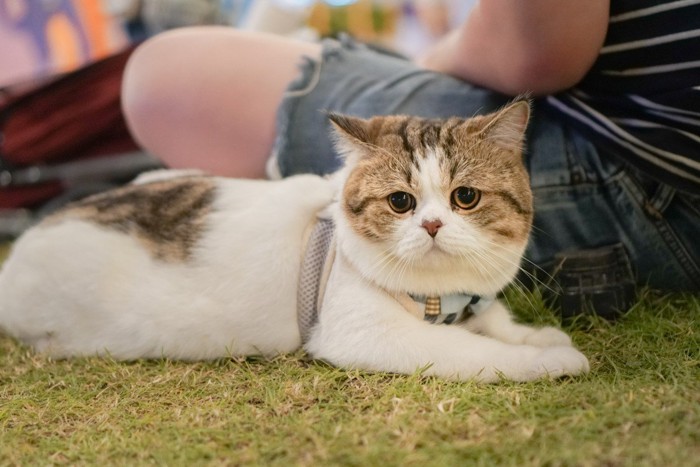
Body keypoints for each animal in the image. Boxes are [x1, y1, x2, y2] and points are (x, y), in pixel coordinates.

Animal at [0, 100, 592, 382]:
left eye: (464, 197)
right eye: (400, 202)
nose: (431, 225)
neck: (438, 295)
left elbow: (495, 322)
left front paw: (535, 336)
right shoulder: (363, 333)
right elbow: (476, 351)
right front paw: (548, 360)